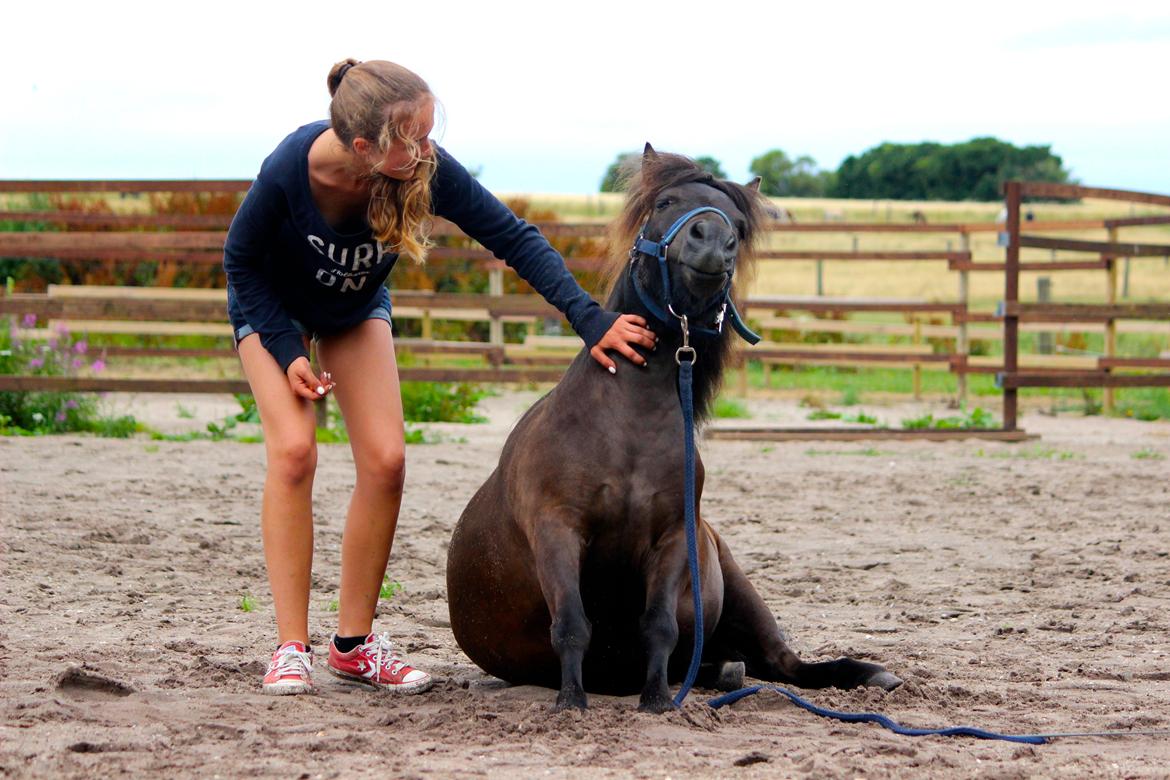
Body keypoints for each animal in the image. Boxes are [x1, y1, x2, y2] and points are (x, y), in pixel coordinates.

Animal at [442, 143, 898, 711]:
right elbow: (571, 623)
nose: (713, 242)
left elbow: (658, 624)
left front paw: (659, 701)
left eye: (739, 227)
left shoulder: (674, 540)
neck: (625, 430)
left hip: (740, 592)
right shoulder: (556, 530)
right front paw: (571, 702)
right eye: (664, 203)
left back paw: (861, 674)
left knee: (780, 662)